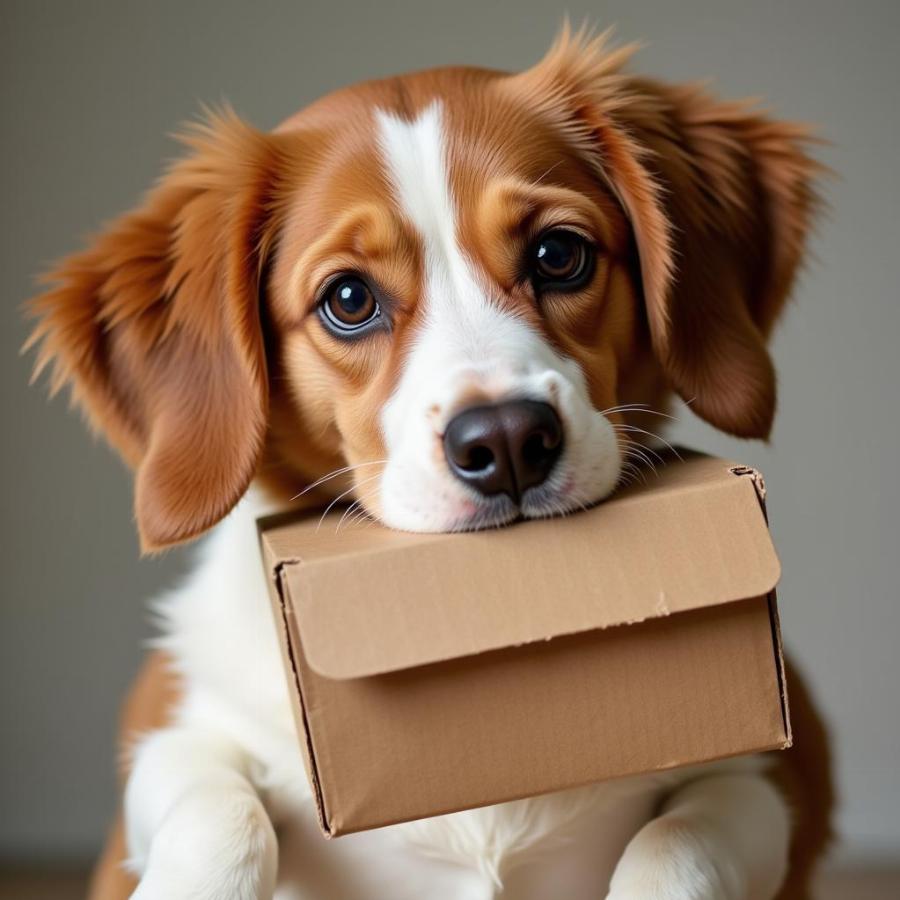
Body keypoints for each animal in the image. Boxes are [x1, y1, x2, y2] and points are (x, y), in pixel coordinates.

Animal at [28, 28, 832, 900]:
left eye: (558, 253)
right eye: (349, 299)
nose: (508, 440)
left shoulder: (776, 775)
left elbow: (678, 841)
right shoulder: (177, 733)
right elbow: (215, 805)